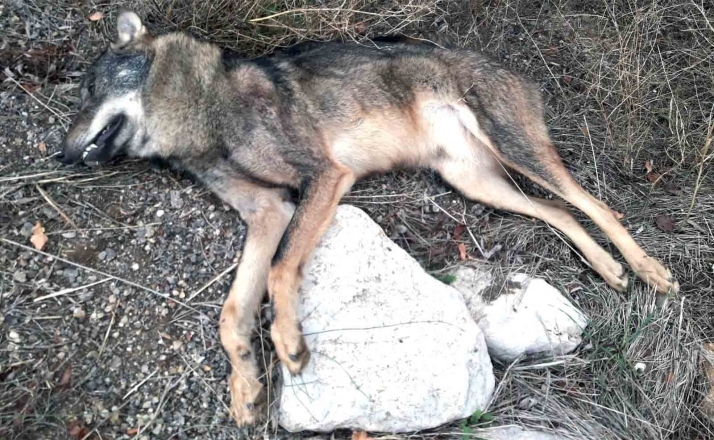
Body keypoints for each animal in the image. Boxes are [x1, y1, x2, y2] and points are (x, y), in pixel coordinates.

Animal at [57, 11, 679, 425]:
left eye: (88, 91)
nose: (60, 156)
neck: (207, 109)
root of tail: (512, 68)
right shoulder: (267, 213)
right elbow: (232, 315)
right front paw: (245, 387)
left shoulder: (325, 179)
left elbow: (280, 272)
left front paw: (288, 342)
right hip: (478, 182)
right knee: (557, 211)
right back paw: (609, 270)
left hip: (517, 154)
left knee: (596, 204)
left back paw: (649, 270)